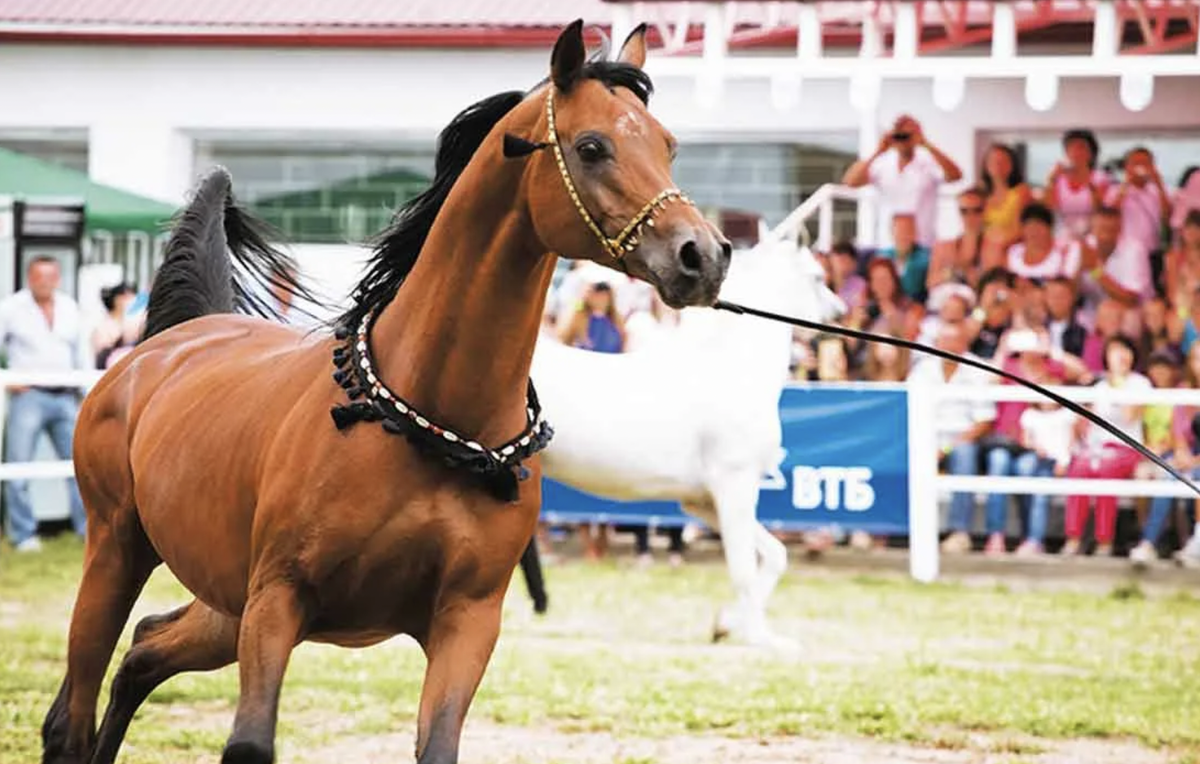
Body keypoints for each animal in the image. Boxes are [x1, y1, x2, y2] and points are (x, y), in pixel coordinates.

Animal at [42, 22, 724, 762]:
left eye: (667, 144)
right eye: (593, 146)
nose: (703, 255)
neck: (434, 424)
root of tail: (171, 342)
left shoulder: (466, 621)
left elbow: (438, 743)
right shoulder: (278, 600)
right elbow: (250, 743)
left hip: (222, 604)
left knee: (143, 653)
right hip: (118, 551)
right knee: (71, 715)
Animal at [535, 235, 844, 647]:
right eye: (816, 276)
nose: (839, 315)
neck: (732, 367)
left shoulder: (703, 501)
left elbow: (775, 555)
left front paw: (725, 625)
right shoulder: (735, 485)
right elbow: (743, 569)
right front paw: (761, 638)